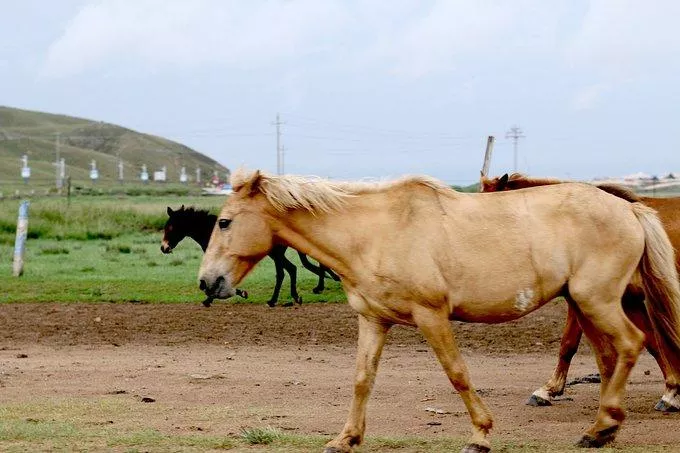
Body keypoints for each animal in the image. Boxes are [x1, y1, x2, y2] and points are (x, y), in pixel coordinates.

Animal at [160, 206, 340, 308]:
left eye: (171, 227)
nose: (164, 248)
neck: (211, 231)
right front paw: (239, 293)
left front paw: (210, 300)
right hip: (276, 254)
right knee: (289, 270)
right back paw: (292, 297)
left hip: (275, 254)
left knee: (286, 271)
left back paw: (275, 300)